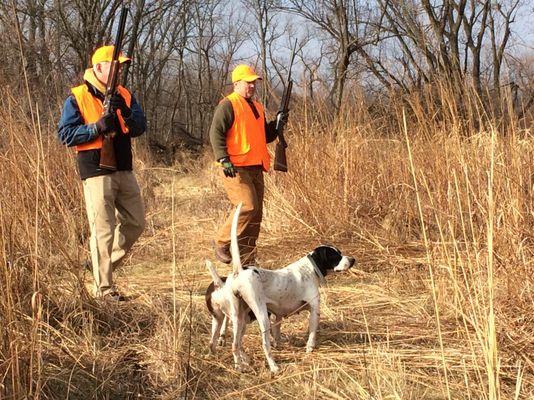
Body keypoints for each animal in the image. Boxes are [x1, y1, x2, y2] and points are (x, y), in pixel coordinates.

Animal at [205, 205, 356, 374]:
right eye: (336, 256)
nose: (352, 260)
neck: (309, 269)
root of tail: (239, 272)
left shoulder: (277, 316)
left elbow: (277, 334)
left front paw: (280, 344)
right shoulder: (314, 309)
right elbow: (312, 332)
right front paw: (310, 347)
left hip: (238, 318)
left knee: (234, 345)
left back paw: (239, 366)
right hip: (261, 315)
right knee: (264, 345)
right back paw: (273, 366)